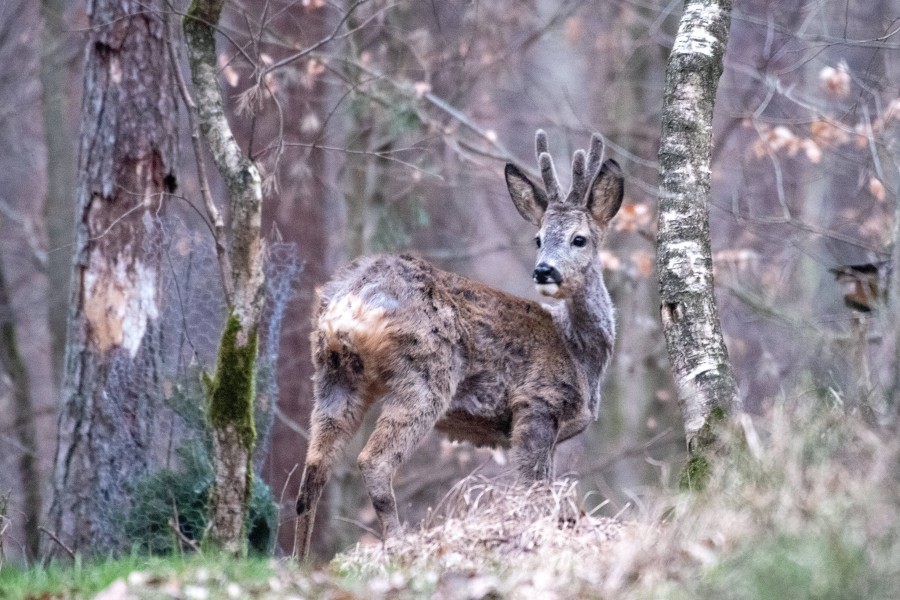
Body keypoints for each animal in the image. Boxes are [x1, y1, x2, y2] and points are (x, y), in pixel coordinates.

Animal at [292, 129, 624, 560]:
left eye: (578, 239)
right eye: (537, 239)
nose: (544, 270)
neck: (581, 354)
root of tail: (352, 297)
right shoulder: (536, 403)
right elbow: (532, 491)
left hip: (332, 372)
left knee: (313, 471)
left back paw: (298, 561)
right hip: (426, 373)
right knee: (374, 461)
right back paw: (398, 545)